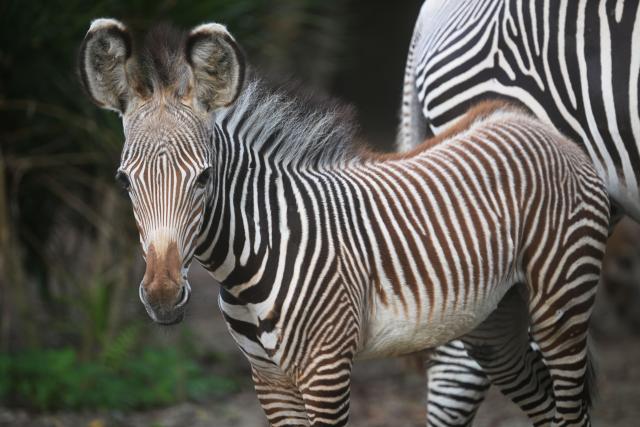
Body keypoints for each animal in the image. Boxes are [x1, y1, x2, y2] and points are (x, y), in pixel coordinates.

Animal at [78, 19, 610, 426]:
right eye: (124, 181)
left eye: (204, 178)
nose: (163, 297)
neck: (255, 255)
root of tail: (533, 124)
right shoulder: (269, 380)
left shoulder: (326, 371)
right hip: (495, 321)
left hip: (563, 297)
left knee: (570, 405)